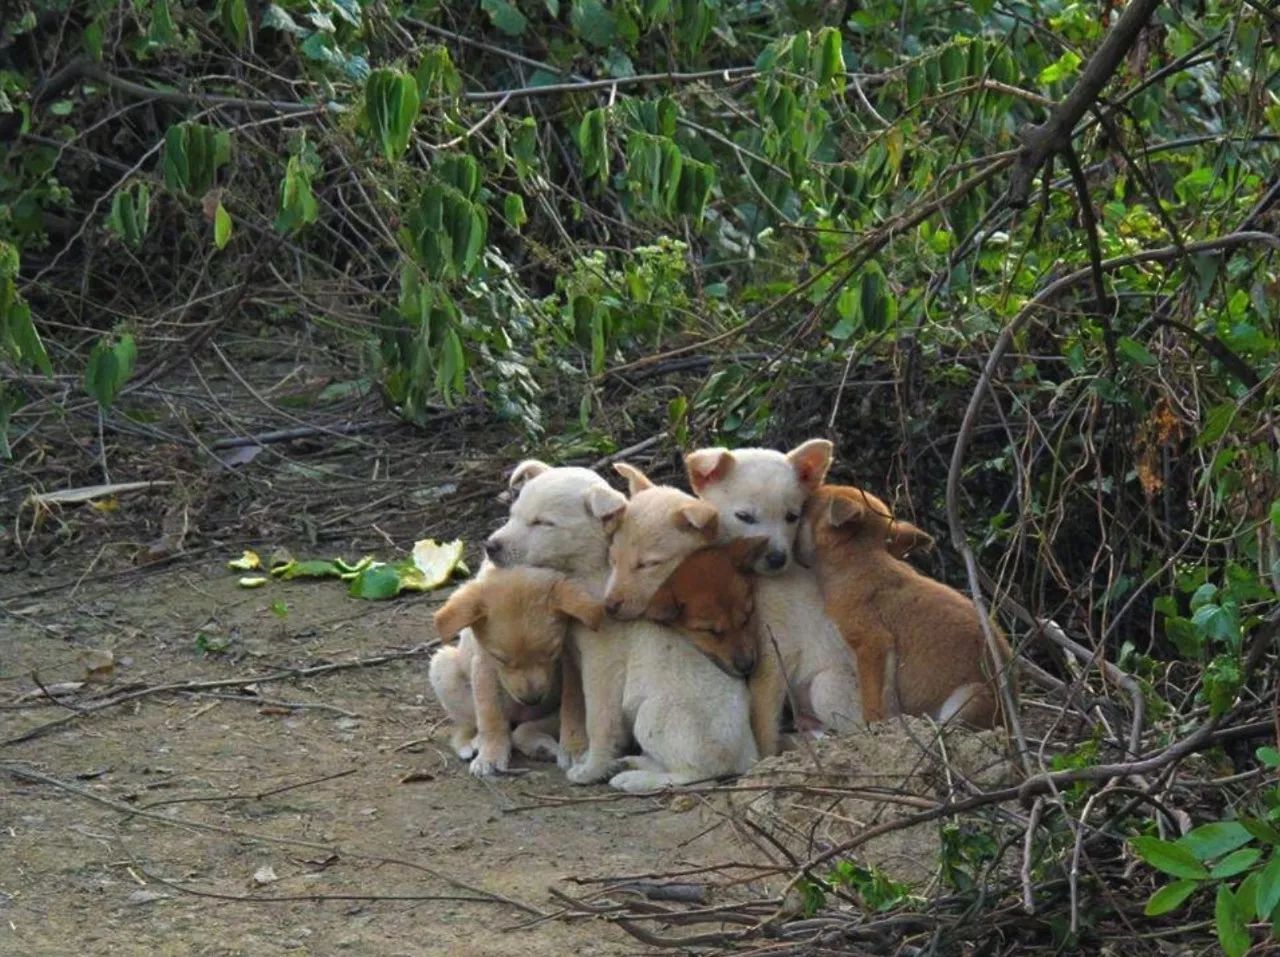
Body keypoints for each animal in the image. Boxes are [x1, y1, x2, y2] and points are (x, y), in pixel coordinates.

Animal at [793, 486, 1013, 726]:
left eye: (804, 508)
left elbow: (873, 697)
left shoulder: (873, 642)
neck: (858, 563)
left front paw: (875, 725)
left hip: (966, 699)